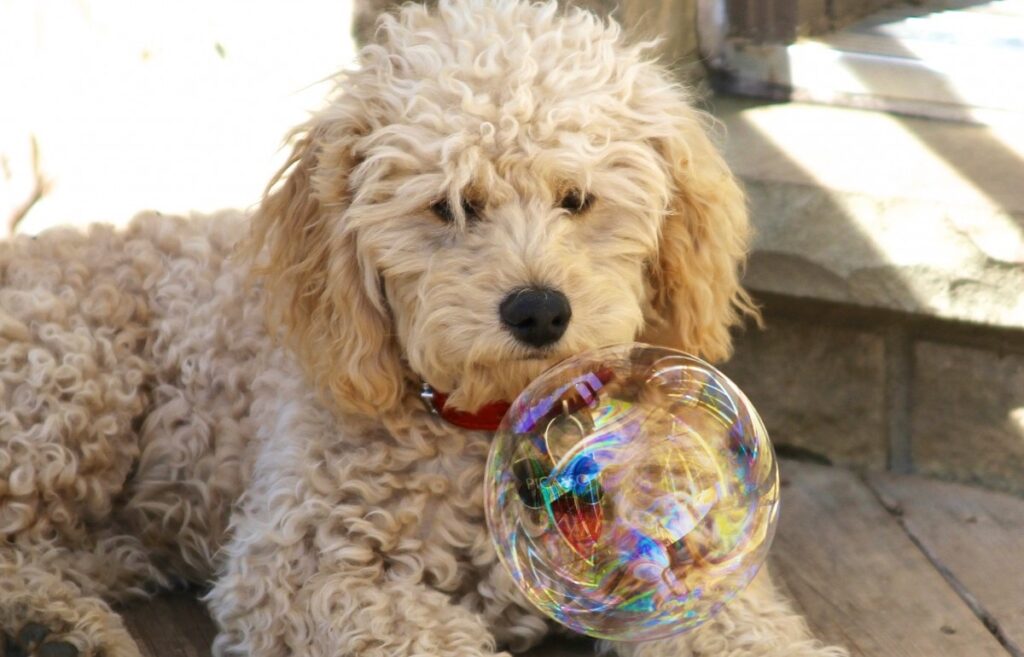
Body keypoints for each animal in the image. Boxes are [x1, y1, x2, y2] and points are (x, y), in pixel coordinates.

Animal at [0, 1, 847, 654]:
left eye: (577, 198)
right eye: (450, 206)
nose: (539, 309)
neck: (492, 425)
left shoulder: (689, 560)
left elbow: (741, 625)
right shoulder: (298, 568)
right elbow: (424, 631)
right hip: (72, 382)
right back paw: (54, 625)